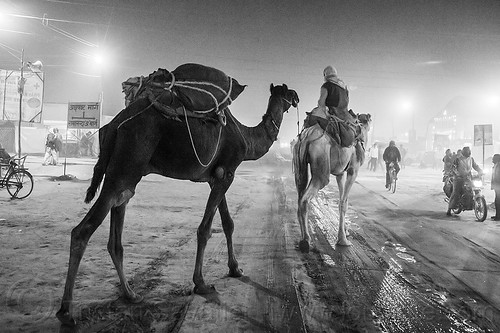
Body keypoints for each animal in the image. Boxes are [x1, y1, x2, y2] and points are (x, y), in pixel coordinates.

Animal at [55, 84, 296, 326]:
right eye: (287, 93)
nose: (296, 98)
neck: (246, 137)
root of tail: (114, 125)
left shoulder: (217, 177)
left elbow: (228, 223)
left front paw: (235, 268)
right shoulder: (227, 173)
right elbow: (205, 229)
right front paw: (201, 283)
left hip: (124, 175)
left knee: (116, 231)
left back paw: (130, 294)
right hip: (126, 163)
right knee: (82, 231)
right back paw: (66, 311)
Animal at [292, 113, 372, 250]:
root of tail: (306, 137)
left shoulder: (340, 173)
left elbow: (342, 200)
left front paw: (345, 231)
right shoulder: (353, 170)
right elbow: (344, 203)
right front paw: (343, 240)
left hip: (299, 166)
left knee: (300, 195)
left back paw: (302, 238)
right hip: (321, 168)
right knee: (305, 199)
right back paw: (306, 241)